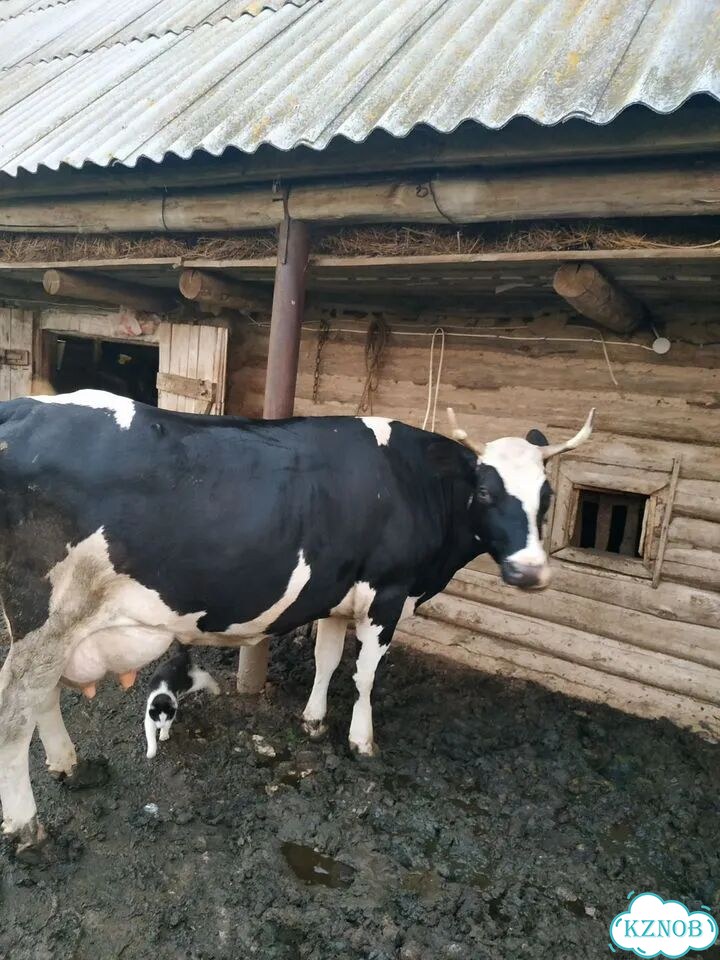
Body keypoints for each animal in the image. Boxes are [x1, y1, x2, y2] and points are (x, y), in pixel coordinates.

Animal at [0, 390, 594, 850]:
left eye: (547, 496)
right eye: (487, 490)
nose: (528, 571)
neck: (412, 482)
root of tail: (21, 407)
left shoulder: (335, 594)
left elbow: (327, 659)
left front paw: (312, 720)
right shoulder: (388, 592)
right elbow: (366, 674)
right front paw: (361, 741)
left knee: (42, 697)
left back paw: (72, 768)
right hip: (49, 618)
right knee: (16, 708)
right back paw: (29, 828)